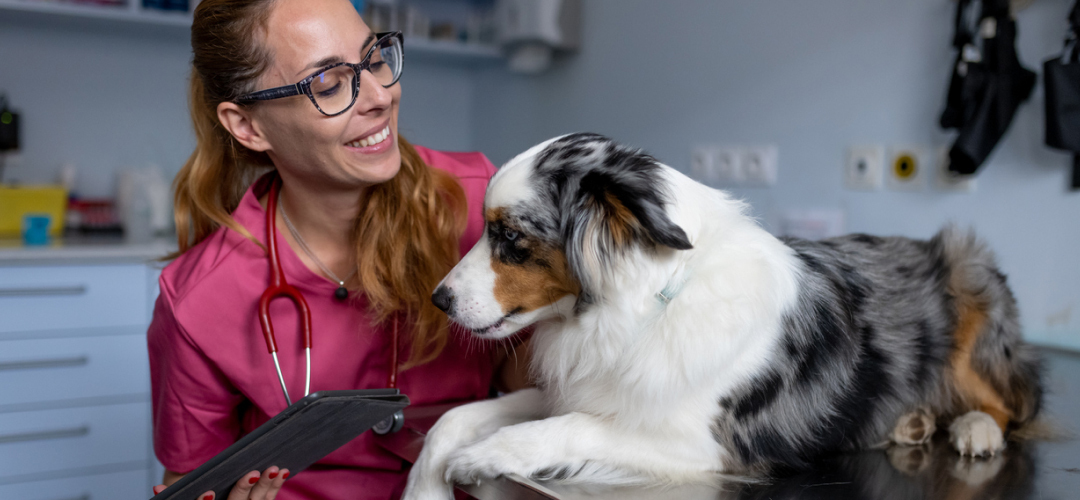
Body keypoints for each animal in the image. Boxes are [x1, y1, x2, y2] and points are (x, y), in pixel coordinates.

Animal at [401, 131, 1041, 498]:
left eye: (509, 236)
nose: (438, 299)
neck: (646, 305)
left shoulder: (710, 446)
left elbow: (569, 428)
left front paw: (485, 456)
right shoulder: (588, 387)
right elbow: (456, 417)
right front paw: (425, 486)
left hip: (969, 278)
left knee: (1016, 405)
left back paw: (973, 428)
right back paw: (915, 422)